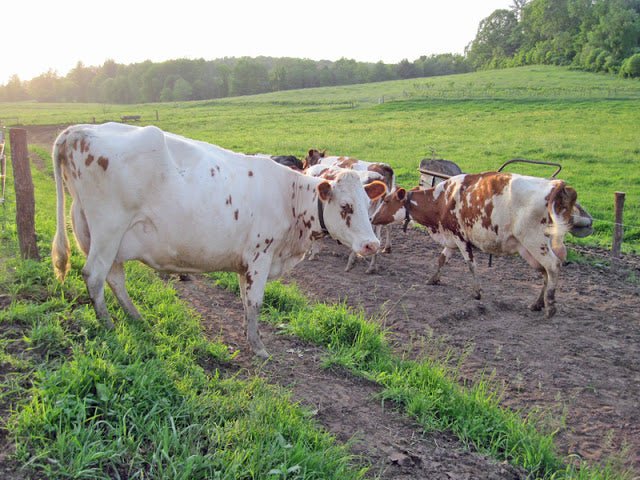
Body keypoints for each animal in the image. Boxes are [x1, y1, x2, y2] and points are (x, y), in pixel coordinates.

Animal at [51, 123, 384, 356]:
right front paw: (259, 348)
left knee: (114, 278)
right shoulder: (260, 255)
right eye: (346, 207)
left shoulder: (244, 263)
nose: (372, 245)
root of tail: (77, 130)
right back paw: (108, 325)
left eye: (368, 204)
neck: (290, 197)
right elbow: (256, 302)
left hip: (97, 233)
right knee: (94, 275)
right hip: (108, 228)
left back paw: (136, 319)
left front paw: (251, 339)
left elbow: (246, 301)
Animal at [370, 172, 580, 318]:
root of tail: (554, 184)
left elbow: (471, 264)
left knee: (553, 266)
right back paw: (537, 304)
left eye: (386, 200)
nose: (372, 217)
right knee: (545, 272)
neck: (442, 199)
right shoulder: (451, 239)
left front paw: (477, 292)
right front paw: (433, 279)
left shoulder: (460, 237)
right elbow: (441, 259)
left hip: (535, 241)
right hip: (528, 248)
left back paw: (550, 306)